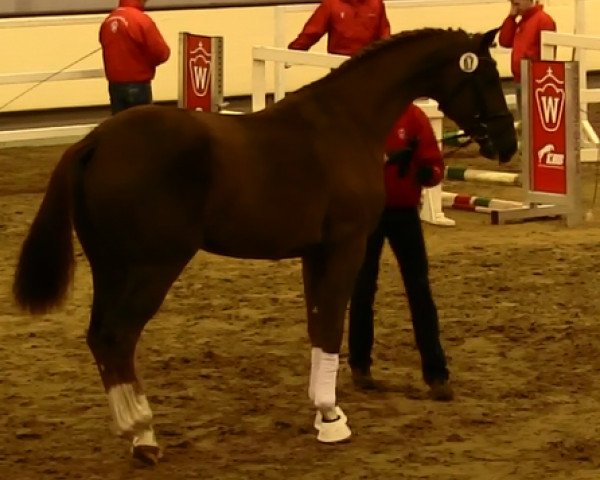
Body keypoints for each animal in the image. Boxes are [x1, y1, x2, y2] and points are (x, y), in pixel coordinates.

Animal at [12, 28, 516, 464]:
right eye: (487, 75)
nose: (507, 143)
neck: (347, 121)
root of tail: (95, 141)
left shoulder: (316, 253)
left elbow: (318, 326)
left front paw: (322, 412)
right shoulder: (346, 246)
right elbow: (331, 325)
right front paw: (332, 418)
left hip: (111, 268)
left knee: (100, 337)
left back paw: (138, 434)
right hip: (151, 267)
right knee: (116, 338)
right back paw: (142, 432)